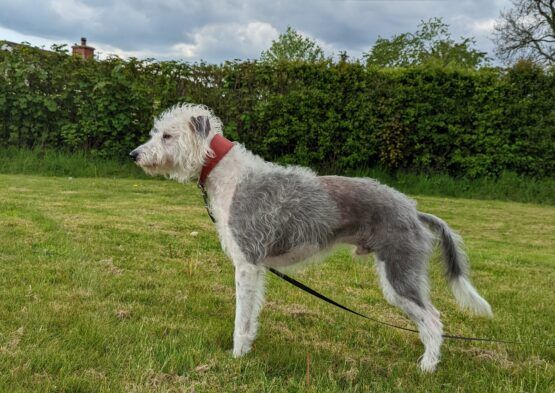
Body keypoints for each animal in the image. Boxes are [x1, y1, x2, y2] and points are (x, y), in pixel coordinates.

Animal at [131, 102, 496, 372]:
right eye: (156, 133)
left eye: (167, 135)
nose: (135, 155)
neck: (226, 172)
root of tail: (414, 211)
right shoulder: (257, 269)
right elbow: (251, 316)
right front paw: (246, 349)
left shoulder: (246, 264)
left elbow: (240, 317)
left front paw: (235, 357)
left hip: (400, 274)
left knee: (433, 319)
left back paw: (427, 367)